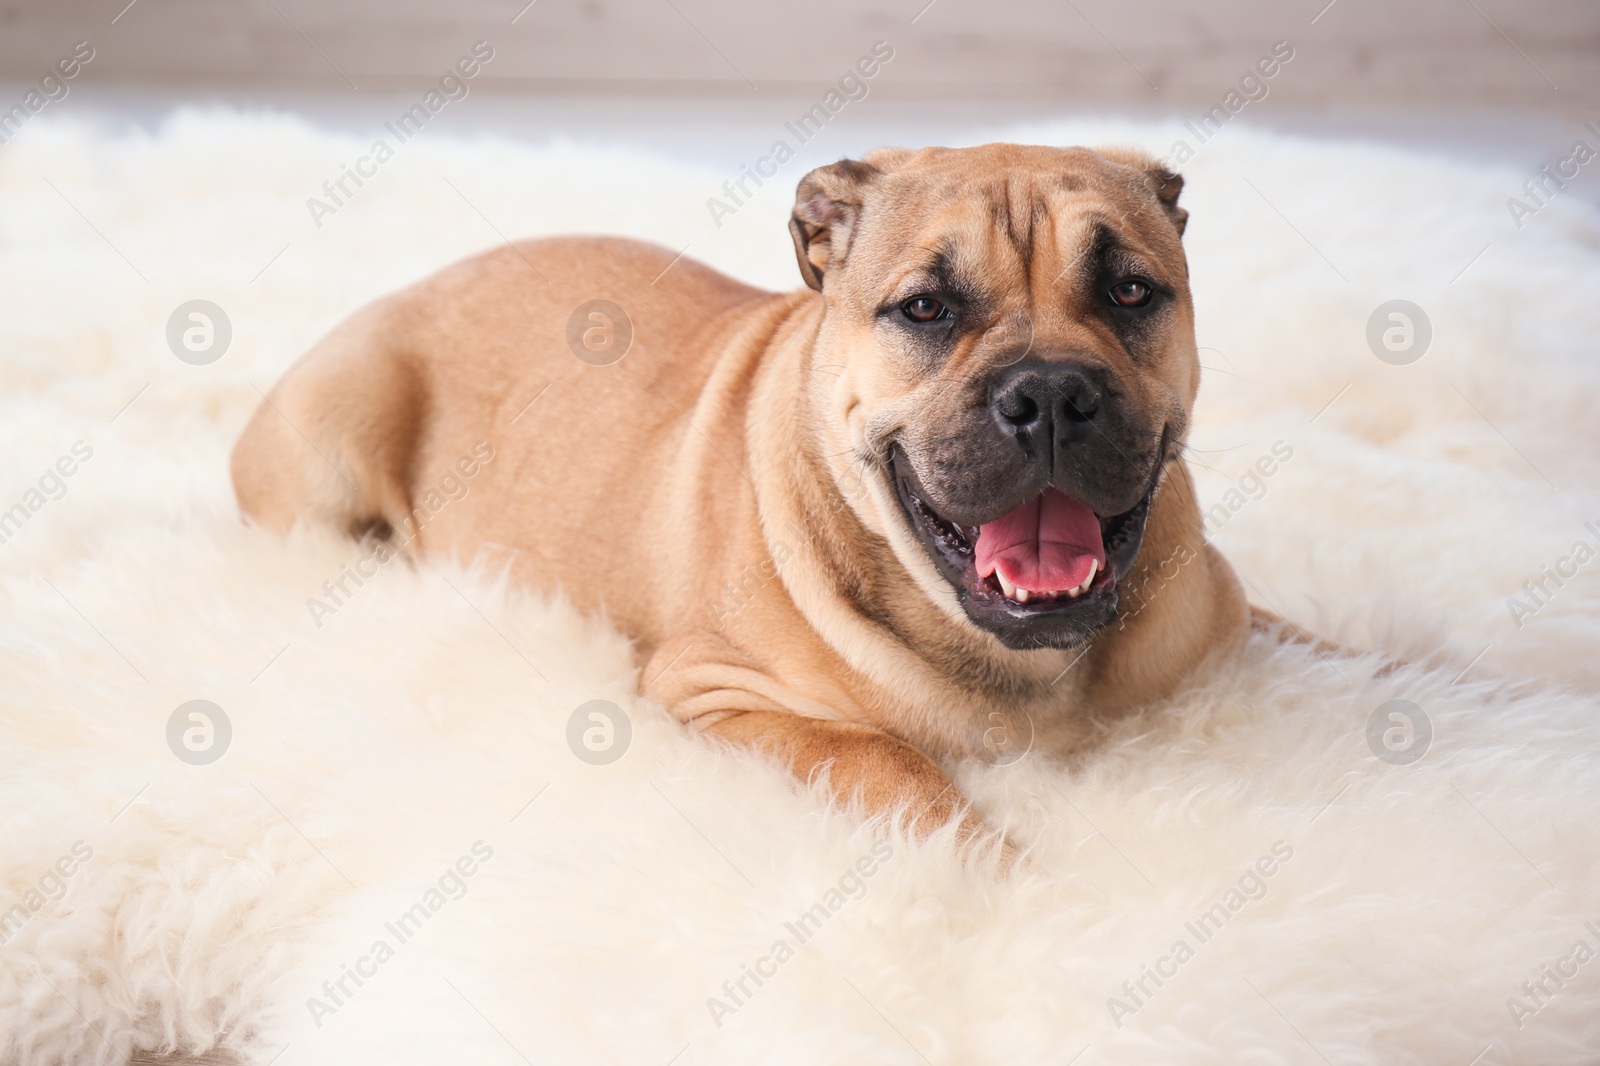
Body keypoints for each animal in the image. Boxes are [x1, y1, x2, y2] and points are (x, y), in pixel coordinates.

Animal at [232, 143, 1254, 857]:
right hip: (339, 419)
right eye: (925, 308)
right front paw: (1008, 881)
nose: (1047, 392)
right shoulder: (713, 693)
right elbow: (884, 758)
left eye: (1130, 291)